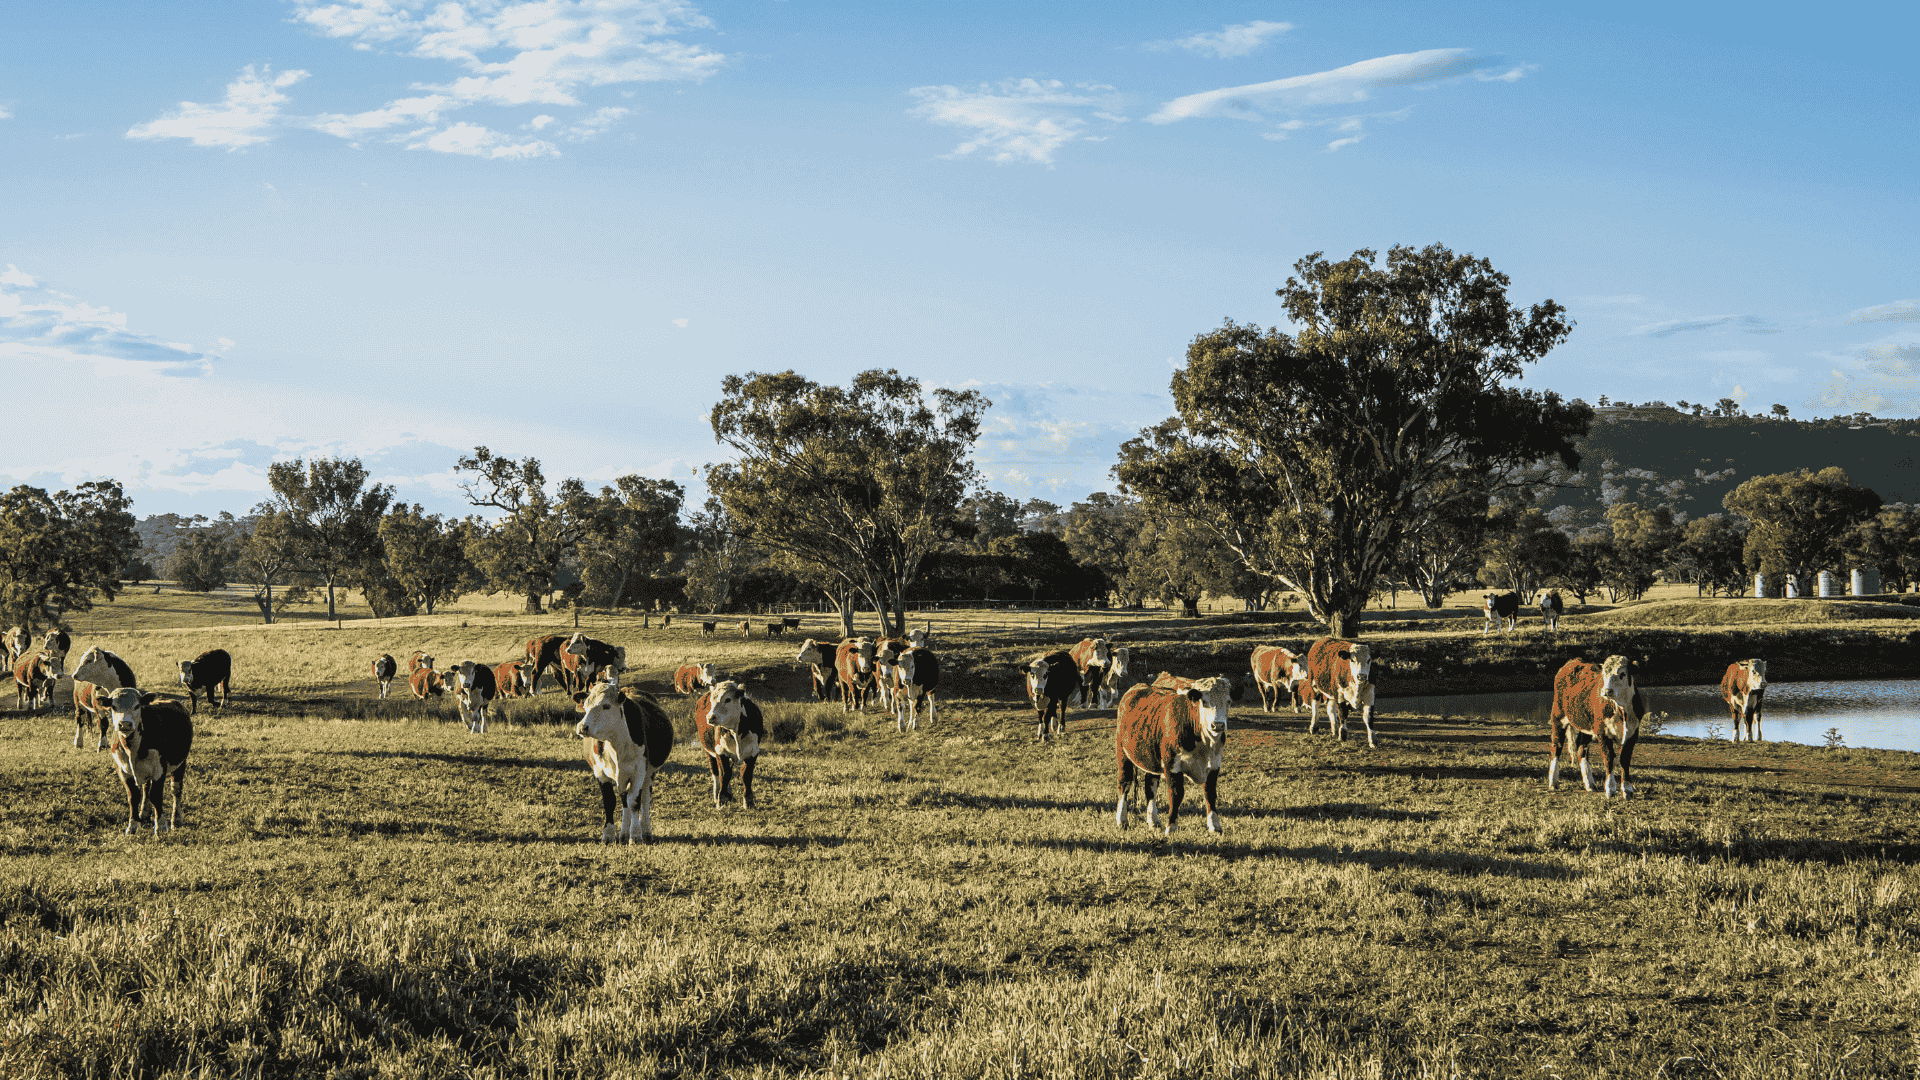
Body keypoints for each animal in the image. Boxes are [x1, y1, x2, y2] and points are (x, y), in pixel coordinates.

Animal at [102, 688, 193, 836]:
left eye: (137, 706)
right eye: (113, 707)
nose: (125, 724)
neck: (133, 748)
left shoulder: (159, 769)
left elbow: (156, 796)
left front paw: (161, 826)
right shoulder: (122, 770)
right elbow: (133, 797)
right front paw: (133, 825)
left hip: (180, 763)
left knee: (176, 790)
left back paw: (177, 819)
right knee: (146, 789)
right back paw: (144, 813)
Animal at [574, 683, 674, 843]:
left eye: (606, 706)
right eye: (585, 705)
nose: (582, 727)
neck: (616, 744)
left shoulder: (639, 772)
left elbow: (634, 801)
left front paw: (636, 835)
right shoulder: (600, 773)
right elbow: (610, 802)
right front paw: (608, 835)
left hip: (649, 774)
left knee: (644, 800)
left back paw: (646, 831)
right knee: (624, 800)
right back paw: (624, 833)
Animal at [1113, 677, 1231, 835]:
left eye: (1228, 701)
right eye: (1204, 701)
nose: (1218, 725)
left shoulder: (1214, 765)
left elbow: (1210, 794)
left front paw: (1215, 825)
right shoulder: (1172, 765)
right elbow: (1176, 794)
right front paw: (1171, 827)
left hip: (1152, 759)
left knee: (1150, 787)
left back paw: (1153, 820)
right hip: (1123, 753)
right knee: (1124, 783)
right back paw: (1122, 820)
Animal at [1548, 655, 1644, 798]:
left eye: (1622, 674)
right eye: (1604, 674)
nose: (1606, 691)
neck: (1621, 708)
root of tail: (1572, 662)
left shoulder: (1633, 733)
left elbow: (1624, 760)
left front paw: (1627, 789)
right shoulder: (1602, 732)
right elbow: (1609, 758)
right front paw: (1610, 789)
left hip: (1586, 727)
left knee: (1581, 750)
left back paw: (1590, 784)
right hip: (1558, 717)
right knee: (1556, 746)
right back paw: (1553, 782)